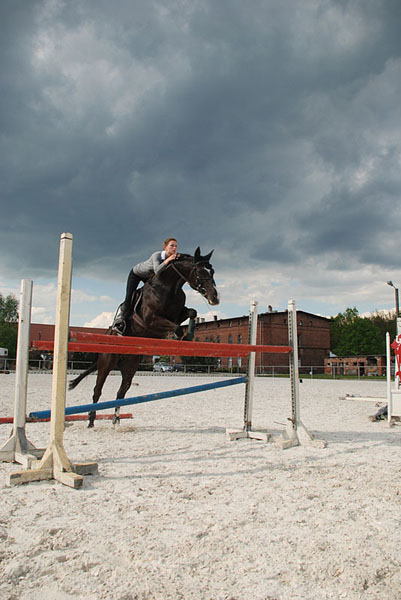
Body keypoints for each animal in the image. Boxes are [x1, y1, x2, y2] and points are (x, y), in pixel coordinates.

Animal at [68, 247, 219, 426]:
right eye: (199, 271)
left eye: (212, 271)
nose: (215, 298)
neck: (169, 287)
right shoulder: (150, 320)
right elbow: (175, 327)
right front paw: (182, 337)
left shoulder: (177, 314)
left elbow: (192, 312)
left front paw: (189, 334)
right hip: (106, 363)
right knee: (97, 390)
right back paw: (91, 421)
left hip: (130, 366)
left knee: (121, 392)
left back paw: (116, 420)